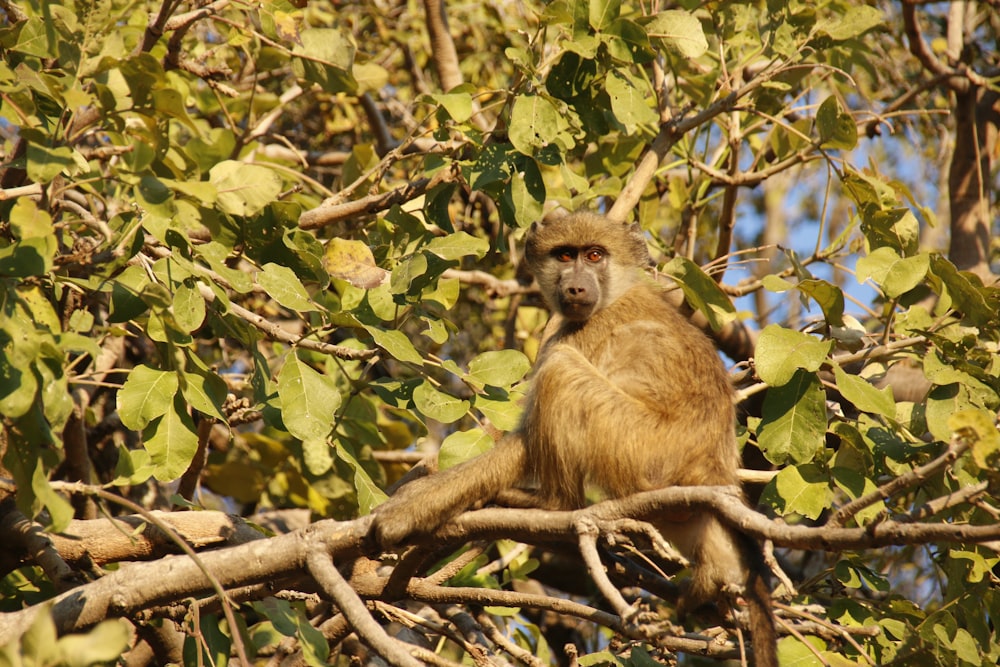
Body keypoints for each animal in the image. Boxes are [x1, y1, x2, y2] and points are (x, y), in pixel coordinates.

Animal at [372, 211, 776, 664]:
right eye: (565, 255)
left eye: (595, 255)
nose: (576, 287)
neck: (616, 293)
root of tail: (711, 464)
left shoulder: (581, 333)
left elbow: (524, 441)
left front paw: (407, 509)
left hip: (639, 447)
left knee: (560, 372)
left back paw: (551, 505)